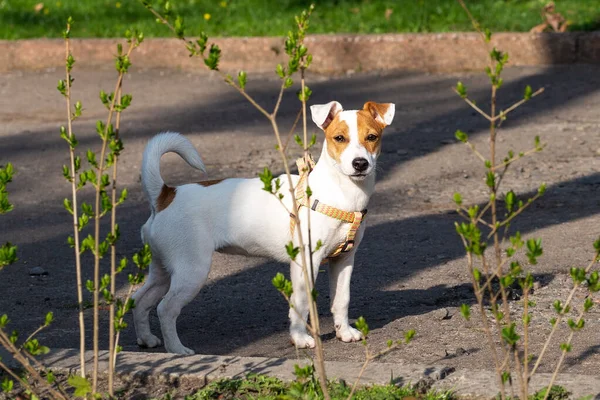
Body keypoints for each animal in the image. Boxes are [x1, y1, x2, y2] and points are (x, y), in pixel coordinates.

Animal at [131, 101, 394, 354]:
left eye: (372, 137)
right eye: (339, 138)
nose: (360, 164)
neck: (340, 192)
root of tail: (165, 194)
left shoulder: (344, 261)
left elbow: (341, 300)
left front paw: (344, 332)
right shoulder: (305, 263)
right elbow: (300, 304)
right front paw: (300, 339)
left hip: (164, 269)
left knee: (140, 299)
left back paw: (146, 339)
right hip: (191, 271)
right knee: (166, 308)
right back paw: (177, 349)